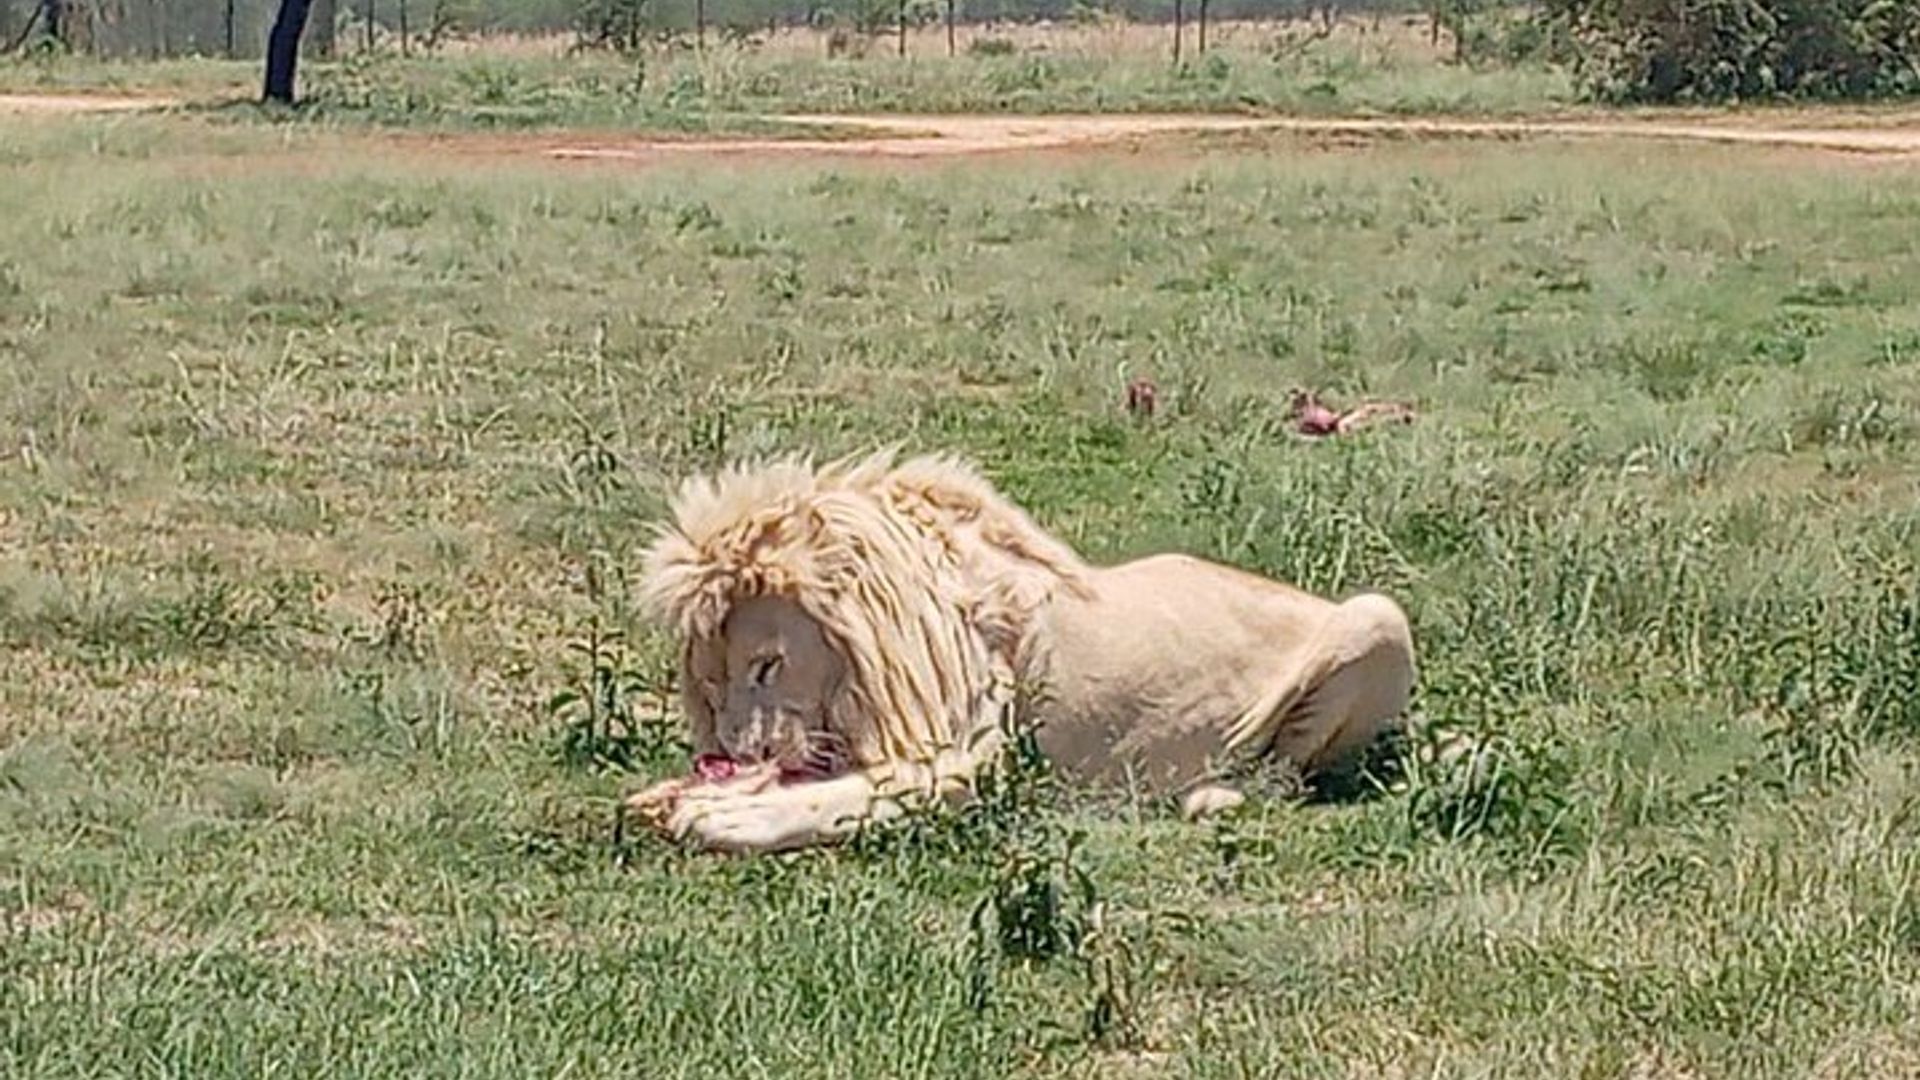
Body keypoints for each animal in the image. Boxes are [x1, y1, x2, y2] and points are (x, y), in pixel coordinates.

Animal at [625, 451, 1417, 854]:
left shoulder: (987, 759)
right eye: (710, 690)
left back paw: (1212, 793)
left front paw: (725, 816)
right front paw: (677, 795)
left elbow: (854, 794)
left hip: (1380, 618)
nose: (738, 754)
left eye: (767, 664)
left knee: (1286, 775)